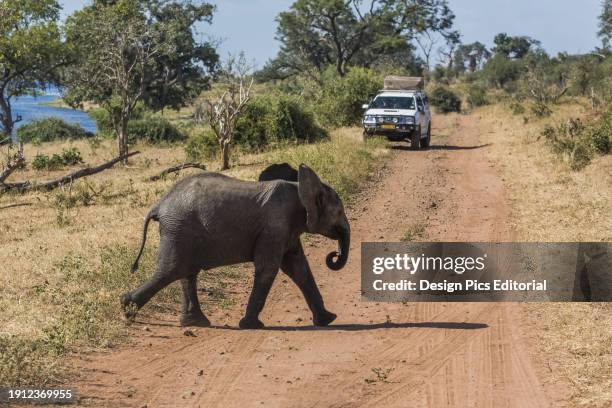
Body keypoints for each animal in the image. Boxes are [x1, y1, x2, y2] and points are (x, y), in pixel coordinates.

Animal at [120, 163, 350, 328]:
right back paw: (127, 309)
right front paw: (250, 326)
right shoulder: (275, 226)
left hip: (181, 231)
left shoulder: (287, 230)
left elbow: (299, 268)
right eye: (339, 212)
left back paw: (194, 323)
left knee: (185, 272)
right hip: (179, 228)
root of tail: (158, 205)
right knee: (171, 271)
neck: (299, 188)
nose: (333, 255)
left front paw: (328, 320)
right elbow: (269, 267)